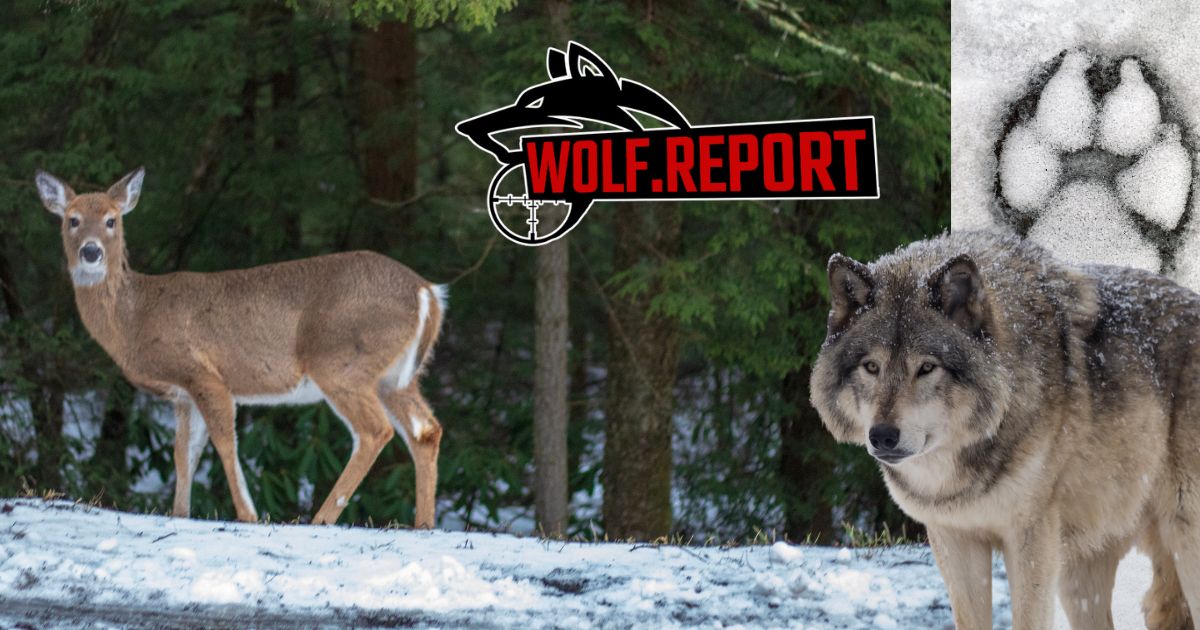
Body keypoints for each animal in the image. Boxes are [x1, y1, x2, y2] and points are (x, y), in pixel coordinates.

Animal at [810, 230, 1200, 629]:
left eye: (927, 367)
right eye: (871, 367)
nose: (883, 436)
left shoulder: (1030, 536)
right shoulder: (955, 540)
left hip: (1184, 543)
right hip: (1081, 576)